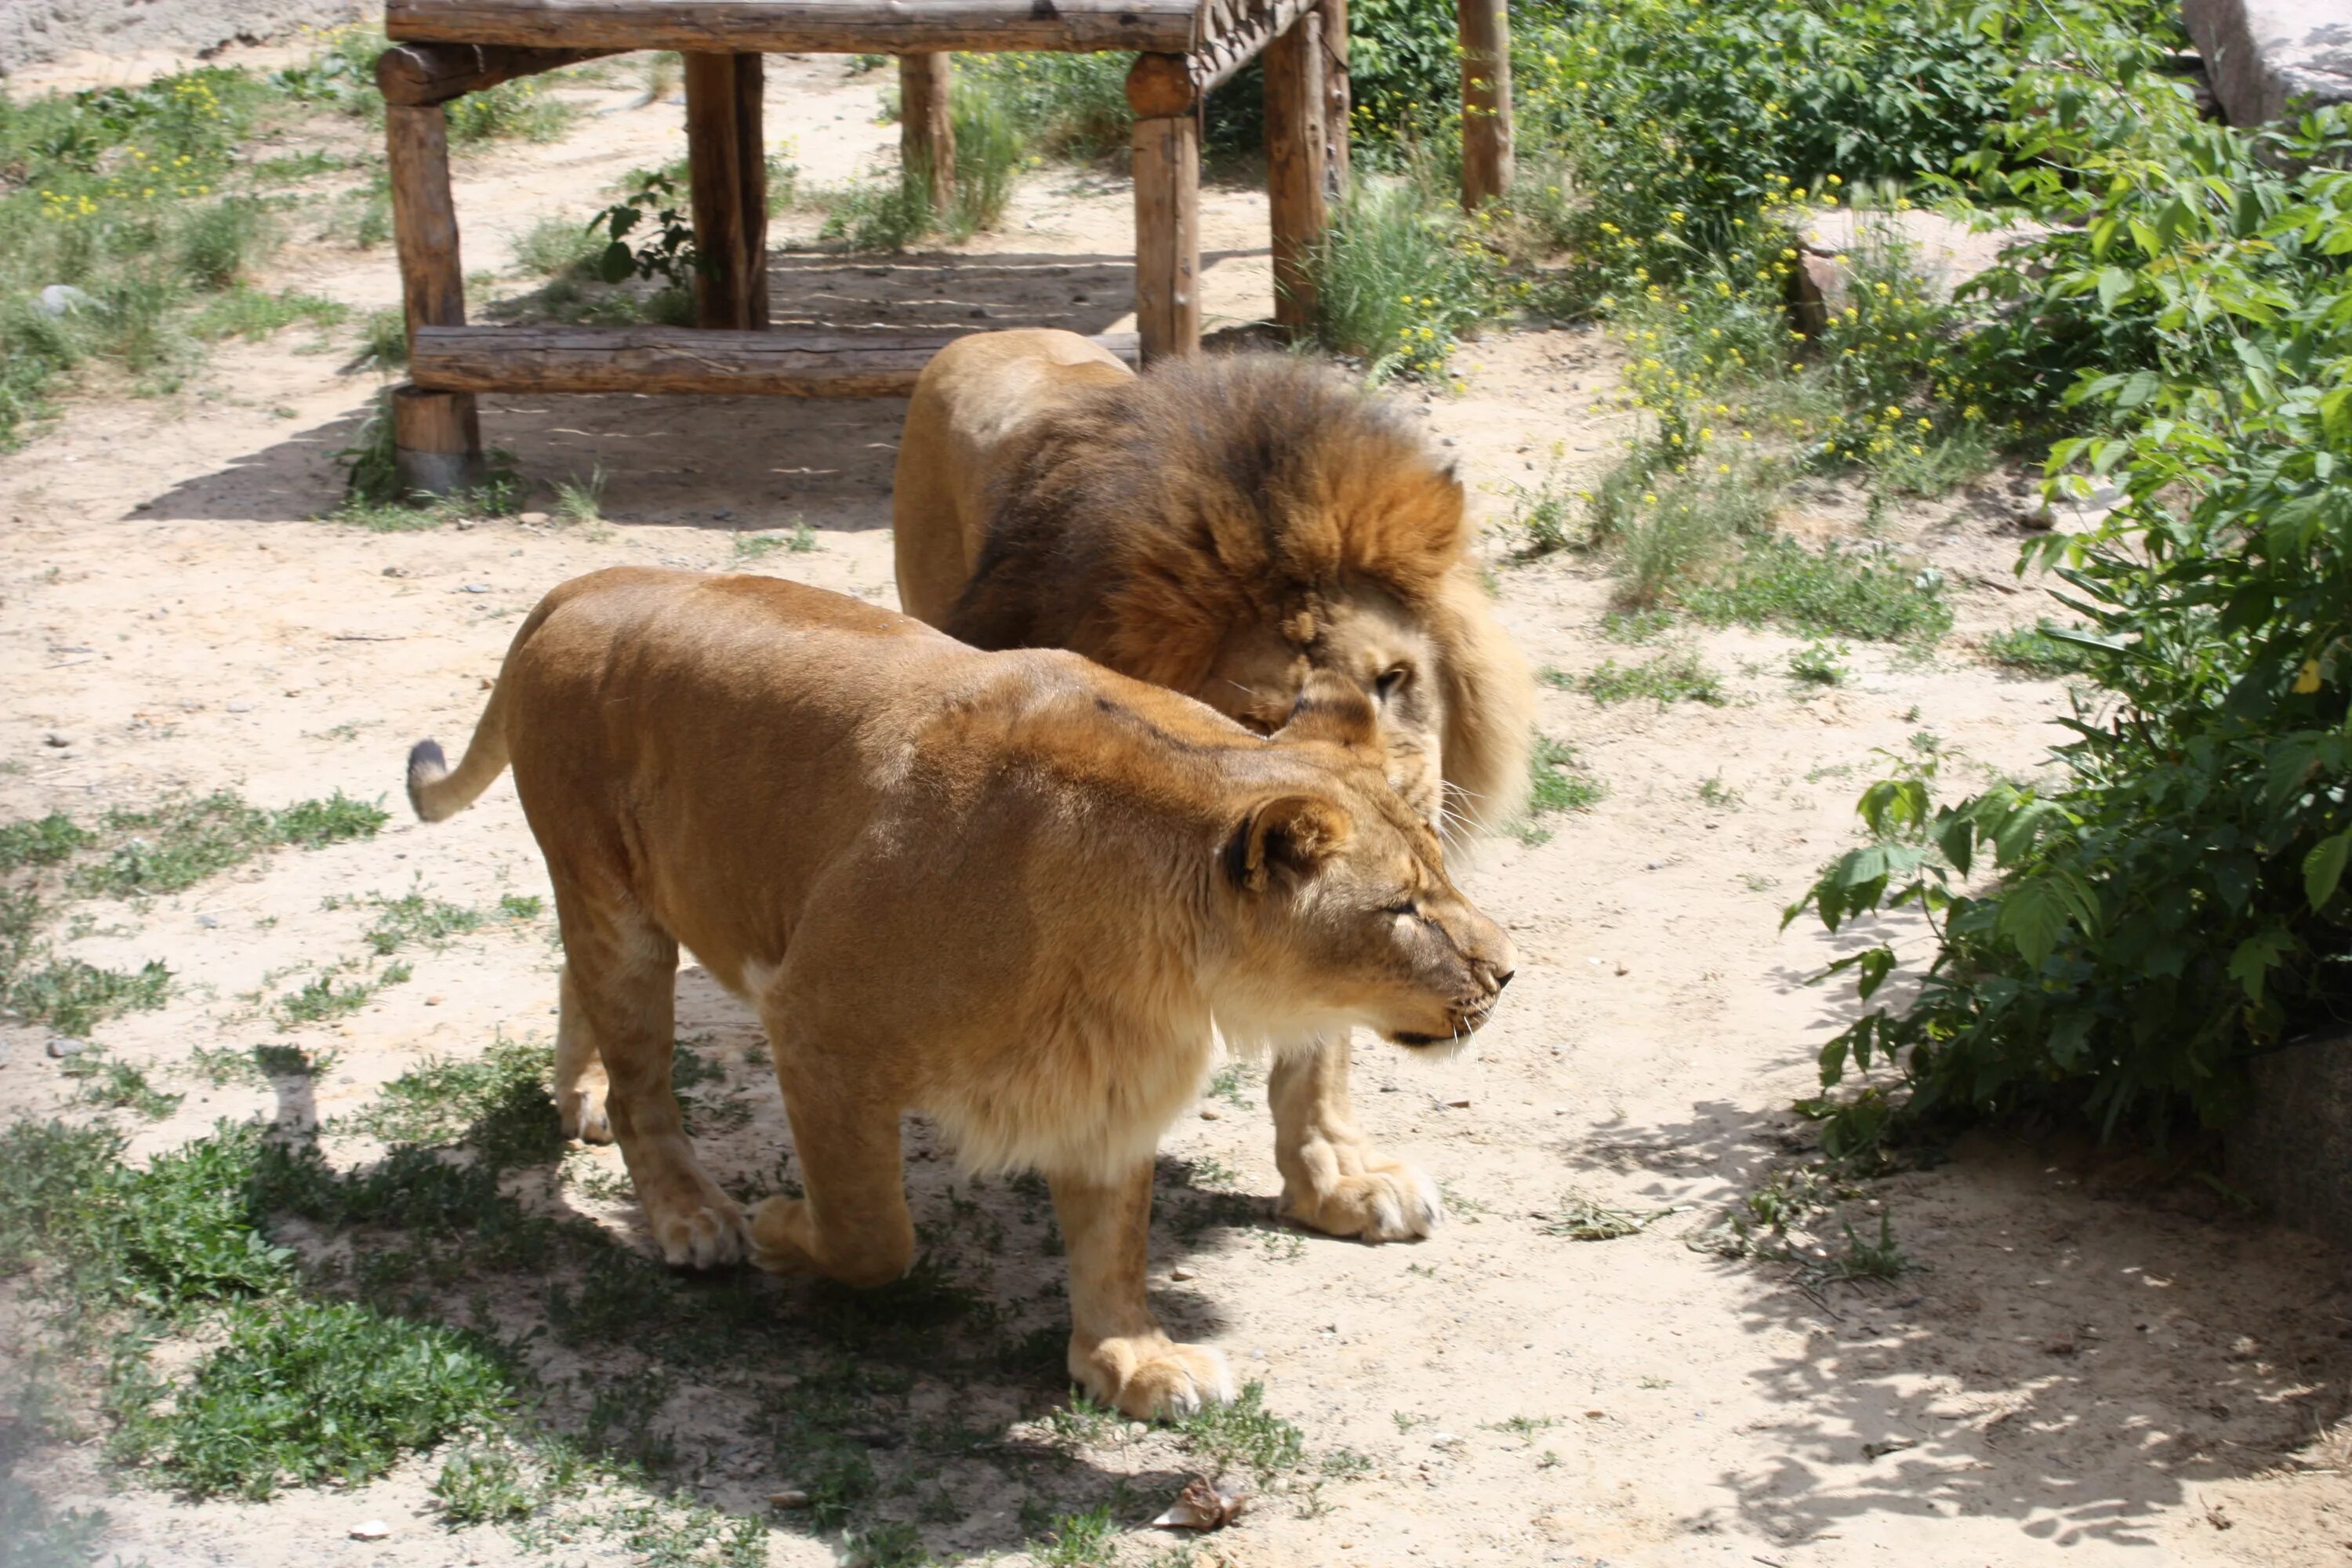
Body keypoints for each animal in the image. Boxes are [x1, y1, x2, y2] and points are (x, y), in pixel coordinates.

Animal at [889, 328, 1534, 1241]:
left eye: (1393, 679)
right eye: (1267, 714)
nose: (1409, 817)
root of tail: (992, 334)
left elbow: (1320, 1040)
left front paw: (1335, 1183)